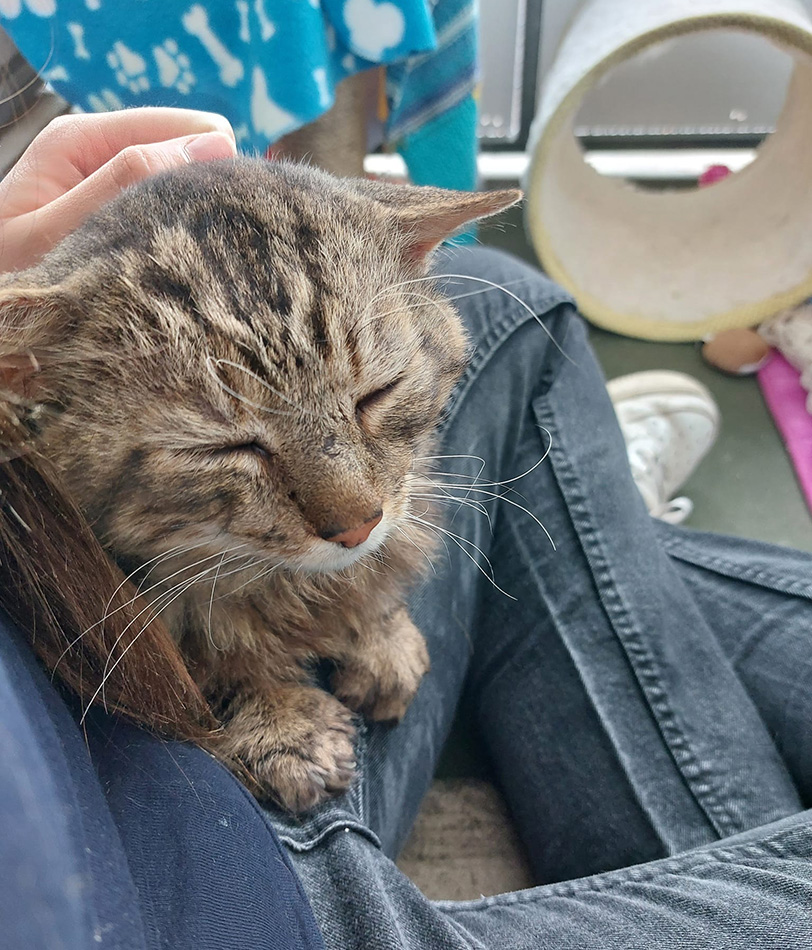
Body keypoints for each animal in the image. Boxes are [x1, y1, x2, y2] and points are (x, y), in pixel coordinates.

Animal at [0, 160, 516, 816]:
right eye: (223, 449)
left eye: (378, 394)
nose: (357, 524)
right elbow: (197, 658)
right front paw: (280, 724)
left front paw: (381, 632)